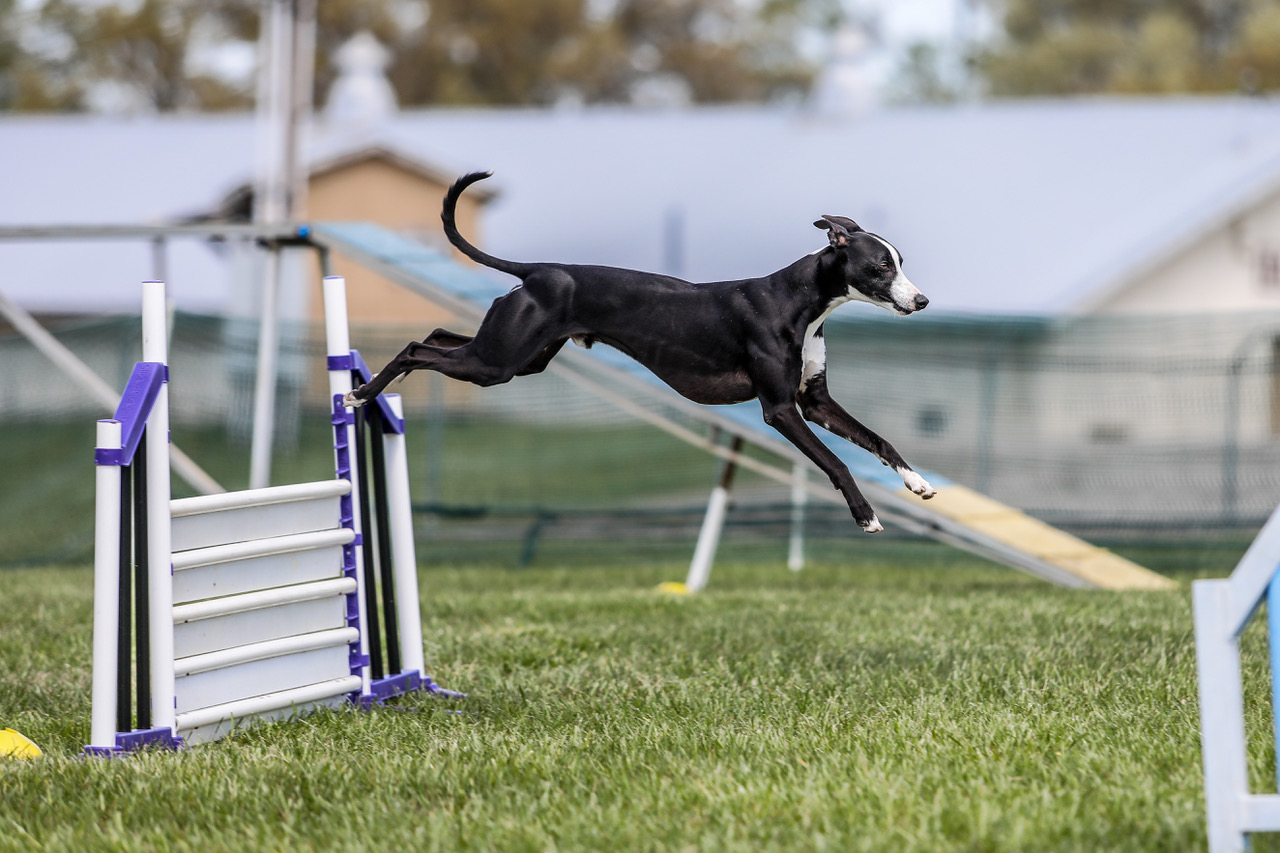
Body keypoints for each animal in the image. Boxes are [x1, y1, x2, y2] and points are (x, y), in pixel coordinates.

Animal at [350, 169, 942, 527]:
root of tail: (538, 270)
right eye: (881, 266)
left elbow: (877, 439)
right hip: (496, 362)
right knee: (413, 347)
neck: (799, 302)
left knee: (435, 338)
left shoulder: (815, 403)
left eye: (901, 261)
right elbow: (837, 463)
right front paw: (866, 515)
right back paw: (361, 393)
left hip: (514, 357)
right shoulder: (780, 410)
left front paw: (916, 481)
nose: (922, 300)